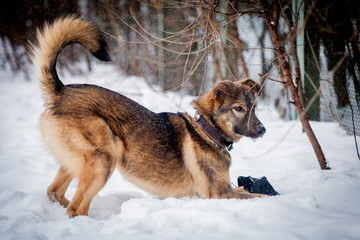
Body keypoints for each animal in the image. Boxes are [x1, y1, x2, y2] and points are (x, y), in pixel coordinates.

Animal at [30, 15, 268, 217]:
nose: (263, 130)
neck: (207, 131)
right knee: (75, 208)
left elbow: (247, 190)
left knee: (55, 192)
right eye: (239, 108)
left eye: (255, 107)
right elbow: (257, 196)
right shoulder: (219, 193)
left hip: (77, 163)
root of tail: (60, 92)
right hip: (104, 160)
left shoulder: (227, 189)